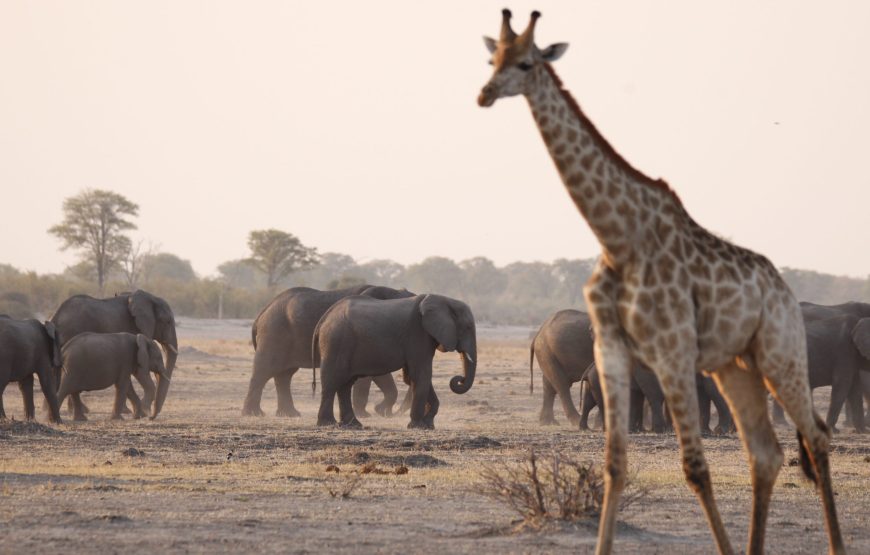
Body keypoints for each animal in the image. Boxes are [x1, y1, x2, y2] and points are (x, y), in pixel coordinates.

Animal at [49, 288, 179, 420]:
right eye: (168, 321)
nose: (151, 416)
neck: (150, 297)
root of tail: (55, 318)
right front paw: (133, 412)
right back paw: (80, 411)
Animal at [240, 286, 414, 416]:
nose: (395, 413)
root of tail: (262, 313)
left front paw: (380, 412)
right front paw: (370, 414)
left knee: (285, 374)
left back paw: (290, 414)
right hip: (274, 332)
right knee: (264, 370)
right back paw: (254, 414)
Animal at [476, 8, 844, 555]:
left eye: (526, 63)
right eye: (492, 59)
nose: (484, 94)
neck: (619, 236)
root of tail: (781, 289)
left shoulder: (671, 348)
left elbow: (695, 468)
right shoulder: (611, 347)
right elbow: (614, 466)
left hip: (781, 354)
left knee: (815, 438)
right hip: (735, 365)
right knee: (766, 453)